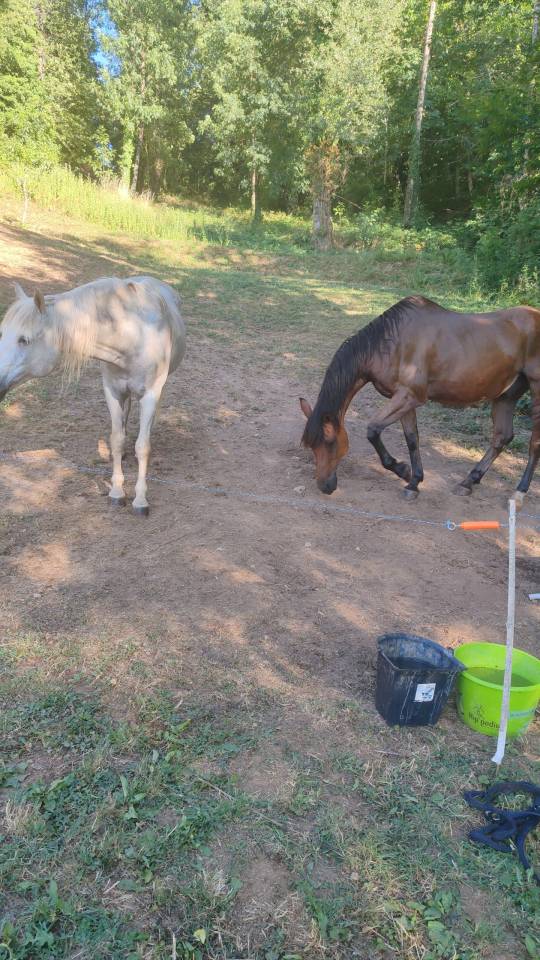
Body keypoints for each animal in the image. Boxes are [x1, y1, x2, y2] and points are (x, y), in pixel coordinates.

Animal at [0, 276, 186, 516]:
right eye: (2, 334)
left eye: (24, 340)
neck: (133, 335)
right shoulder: (112, 391)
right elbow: (116, 439)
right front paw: (117, 492)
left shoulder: (151, 394)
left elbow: (143, 447)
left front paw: (140, 500)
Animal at [300, 295, 540, 501]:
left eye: (329, 442)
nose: (325, 486)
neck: (392, 342)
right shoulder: (405, 399)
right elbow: (412, 439)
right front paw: (413, 481)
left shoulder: (409, 396)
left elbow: (373, 430)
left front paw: (403, 470)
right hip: (506, 395)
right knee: (502, 437)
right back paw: (468, 482)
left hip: (536, 389)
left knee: (534, 443)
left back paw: (519, 493)